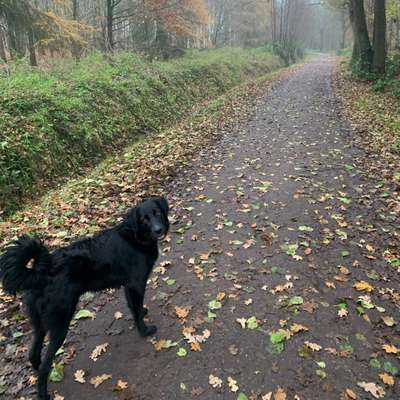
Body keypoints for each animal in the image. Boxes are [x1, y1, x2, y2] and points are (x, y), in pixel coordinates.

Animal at [0, 197, 169, 400]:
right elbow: (135, 310)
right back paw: (43, 393)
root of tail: (39, 273)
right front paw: (144, 331)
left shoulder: (128, 286)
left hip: (40, 324)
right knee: (45, 364)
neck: (135, 237)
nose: (159, 229)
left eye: (157, 213)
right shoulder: (136, 284)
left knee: (33, 354)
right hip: (60, 325)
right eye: (144, 219)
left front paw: (142, 313)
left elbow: (134, 307)